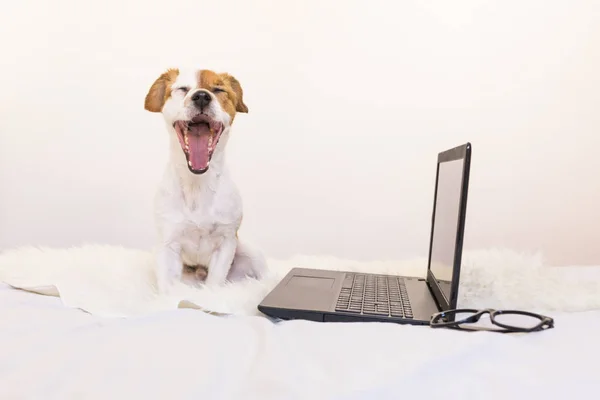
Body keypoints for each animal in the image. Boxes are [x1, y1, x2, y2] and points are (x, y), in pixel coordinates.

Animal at [144, 68, 266, 294]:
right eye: (182, 89)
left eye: (218, 89)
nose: (201, 96)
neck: (197, 184)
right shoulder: (168, 246)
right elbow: (167, 290)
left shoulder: (226, 244)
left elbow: (214, 283)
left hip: (251, 253)